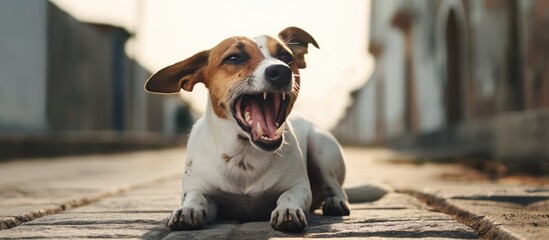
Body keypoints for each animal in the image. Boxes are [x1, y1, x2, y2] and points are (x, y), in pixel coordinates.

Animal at [146, 26, 368, 232]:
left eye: (286, 57)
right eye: (234, 57)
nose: (281, 71)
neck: (244, 156)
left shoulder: (300, 187)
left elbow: (289, 195)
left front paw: (287, 210)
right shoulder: (201, 192)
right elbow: (195, 197)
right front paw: (188, 209)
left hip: (323, 151)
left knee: (336, 188)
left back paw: (335, 202)